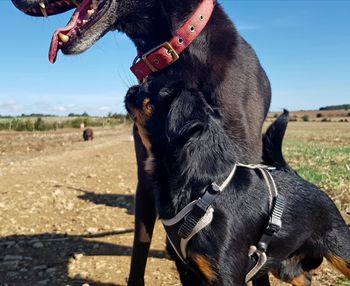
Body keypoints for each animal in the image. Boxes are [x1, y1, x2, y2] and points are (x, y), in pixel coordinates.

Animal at [126, 85, 350, 286]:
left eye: (150, 89)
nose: (132, 89)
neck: (205, 190)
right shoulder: (188, 272)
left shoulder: (227, 276)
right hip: (285, 266)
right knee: (304, 277)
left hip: (340, 251)